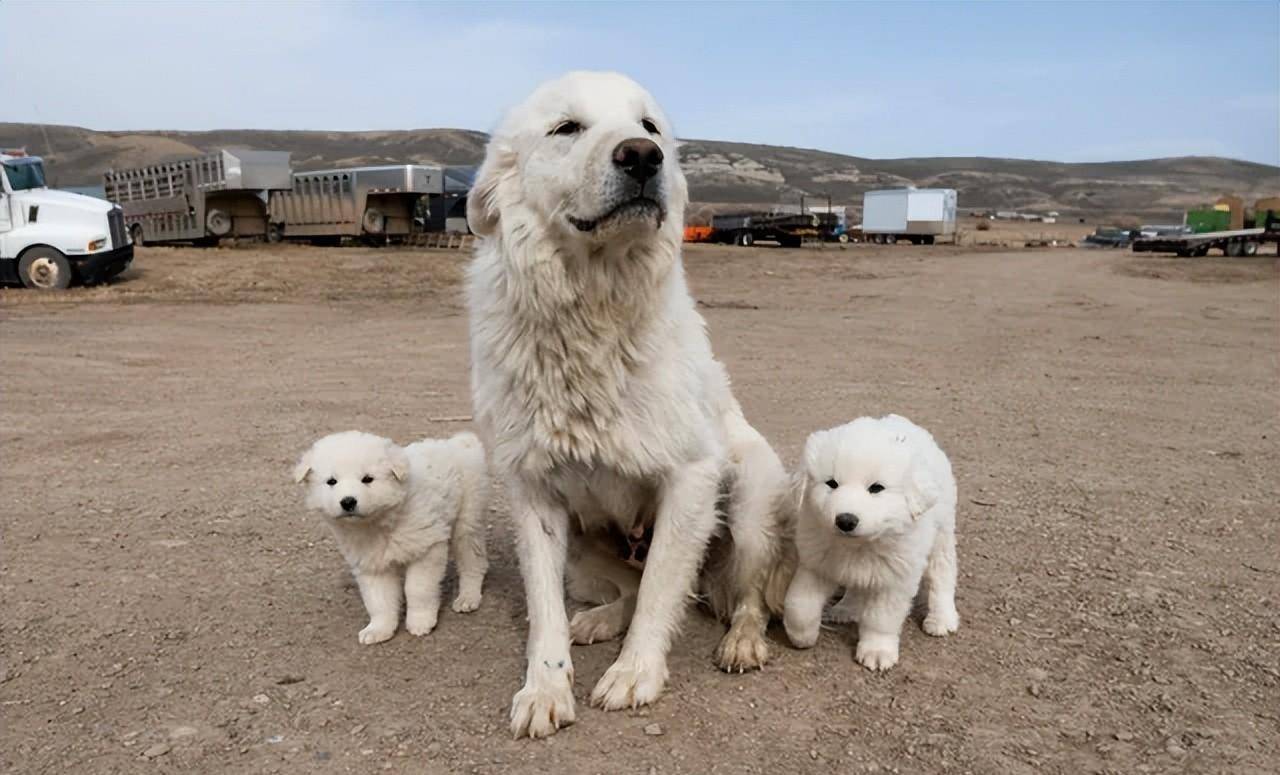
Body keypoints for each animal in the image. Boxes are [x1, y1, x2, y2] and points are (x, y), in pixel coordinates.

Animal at [293, 432, 488, 643]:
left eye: (367, 479)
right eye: (331, 481)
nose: (348, 502)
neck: (380, 522)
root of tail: (458, 442)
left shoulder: (427, 548)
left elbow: (417, 589)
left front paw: (420, 622)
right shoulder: (371, 564)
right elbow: (378, 600)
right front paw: (379, 629)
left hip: (467, 521)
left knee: (473, 562)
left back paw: (468, 597)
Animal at [471, 72, 788, 737]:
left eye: (649, 127)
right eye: (566, 128)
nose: (643, 157)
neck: (594, 308)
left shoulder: (690, 479)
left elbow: (663, 590)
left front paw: (636, 672)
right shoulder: (532, 492)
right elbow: (545, 611)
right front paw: (545, 689)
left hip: (747, 503)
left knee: (741, 596)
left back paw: (742, 641)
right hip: (584, 549)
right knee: (627, 590)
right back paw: (597, 620)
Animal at [783, 409, 957, 671]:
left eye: (876, 488)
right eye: (831, 483)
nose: (845, 520)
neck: (859, 546)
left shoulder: (895, 580)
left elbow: (880, 618)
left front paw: (877, 651)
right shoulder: (816, 565)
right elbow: (799, 604)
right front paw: (801, 636)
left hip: (942, 534)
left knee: (942, 575)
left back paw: (942, 619)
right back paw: (845, 609)